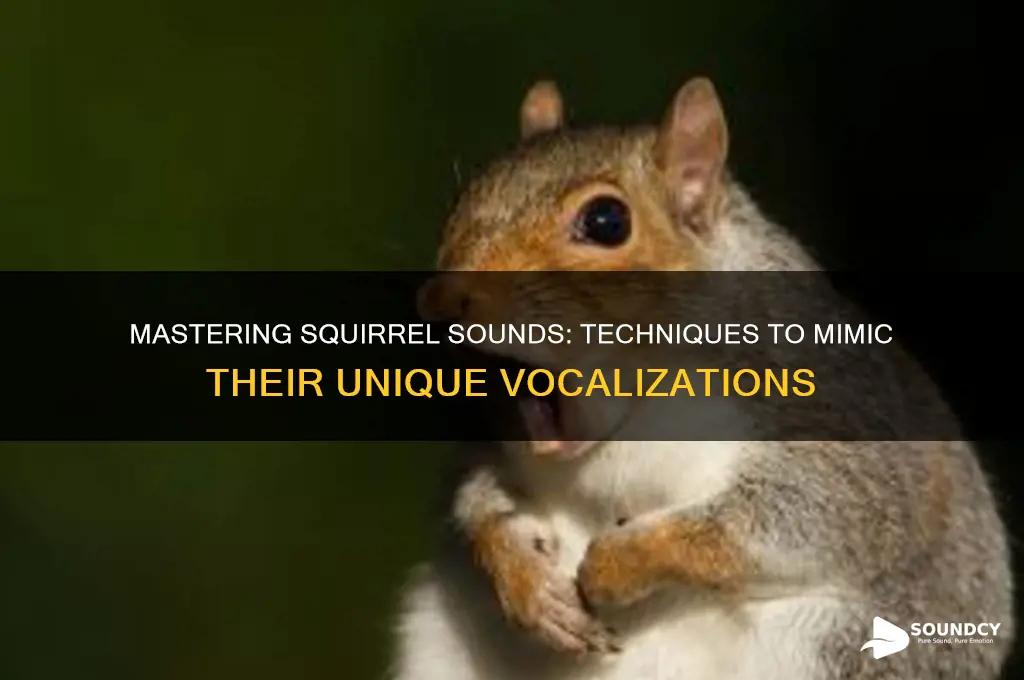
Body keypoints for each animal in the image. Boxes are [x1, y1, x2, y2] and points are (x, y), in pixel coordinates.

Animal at [388, 77, 1015, 680]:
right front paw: (526, 581)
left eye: (606, 221)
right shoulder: (492, 437)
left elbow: (796, 519)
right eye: (463, 199)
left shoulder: (835, 424)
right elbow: (478, 498)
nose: (438, 300)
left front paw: (617, 564)